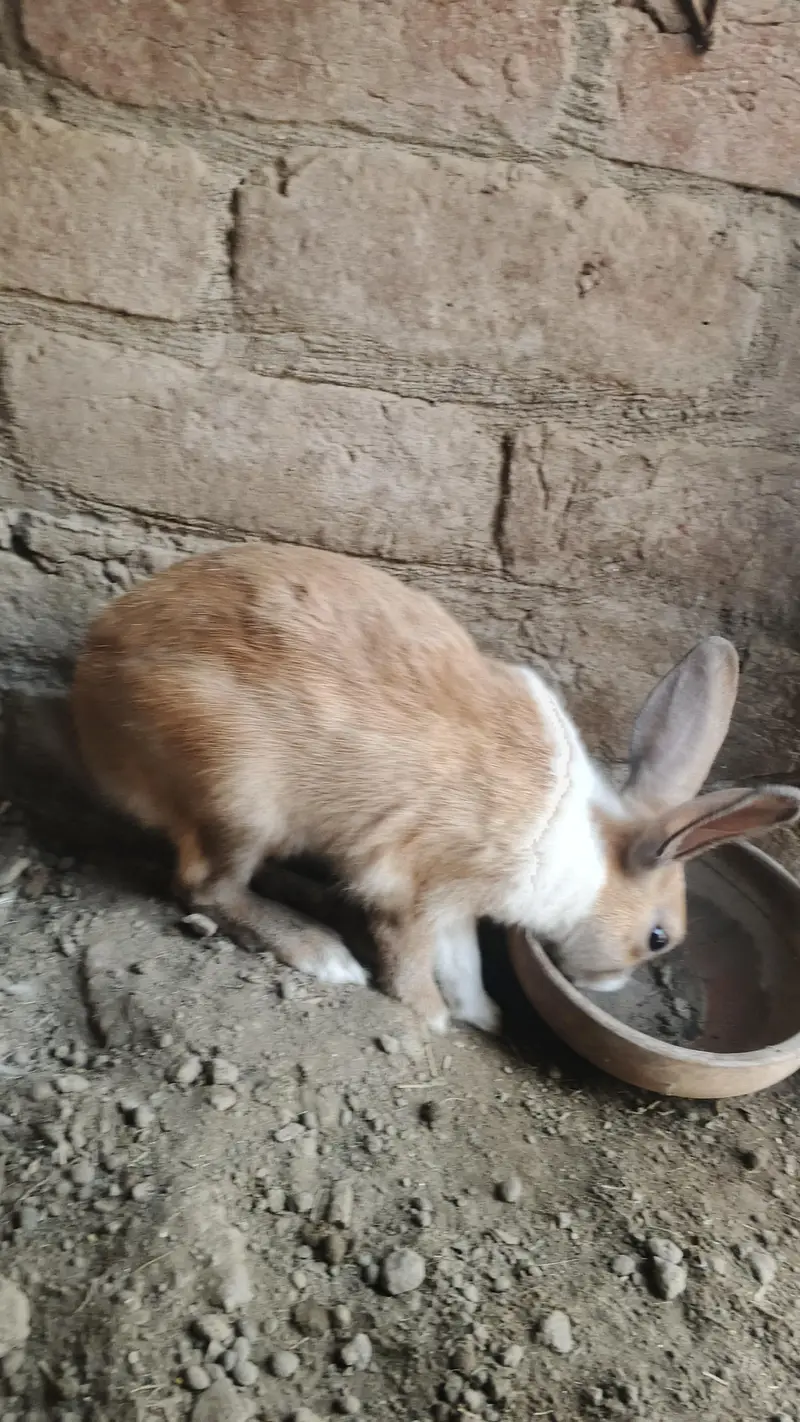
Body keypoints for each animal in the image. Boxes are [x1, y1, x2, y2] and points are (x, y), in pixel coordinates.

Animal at [71, 542, 800, 1034]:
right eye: (657, 937)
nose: (613, 985)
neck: (587, 852)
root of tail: (92, 681)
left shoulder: (458, 902)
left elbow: (464, 960)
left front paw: (487, 1016)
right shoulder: (417, 888)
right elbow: (414, 956)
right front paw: (430, 1019)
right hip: (238, 798)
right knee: (205, 886)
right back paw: (321, 951)